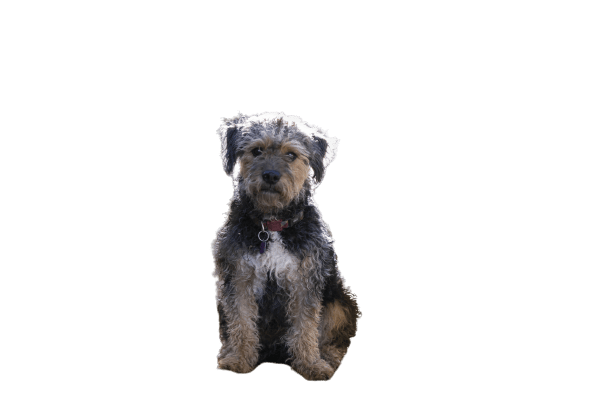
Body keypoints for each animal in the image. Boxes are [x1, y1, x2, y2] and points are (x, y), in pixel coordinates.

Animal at [212, 110, 360, 380]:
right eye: (257, 150)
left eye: (291, 154)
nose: (271, 175)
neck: (272, 226)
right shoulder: (238, 277)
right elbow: (241, 321)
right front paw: (239, 359)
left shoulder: (305, 280)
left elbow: (306, 326)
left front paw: (310, 364)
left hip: (341, 302)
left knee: (336, 338)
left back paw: (328, 358)